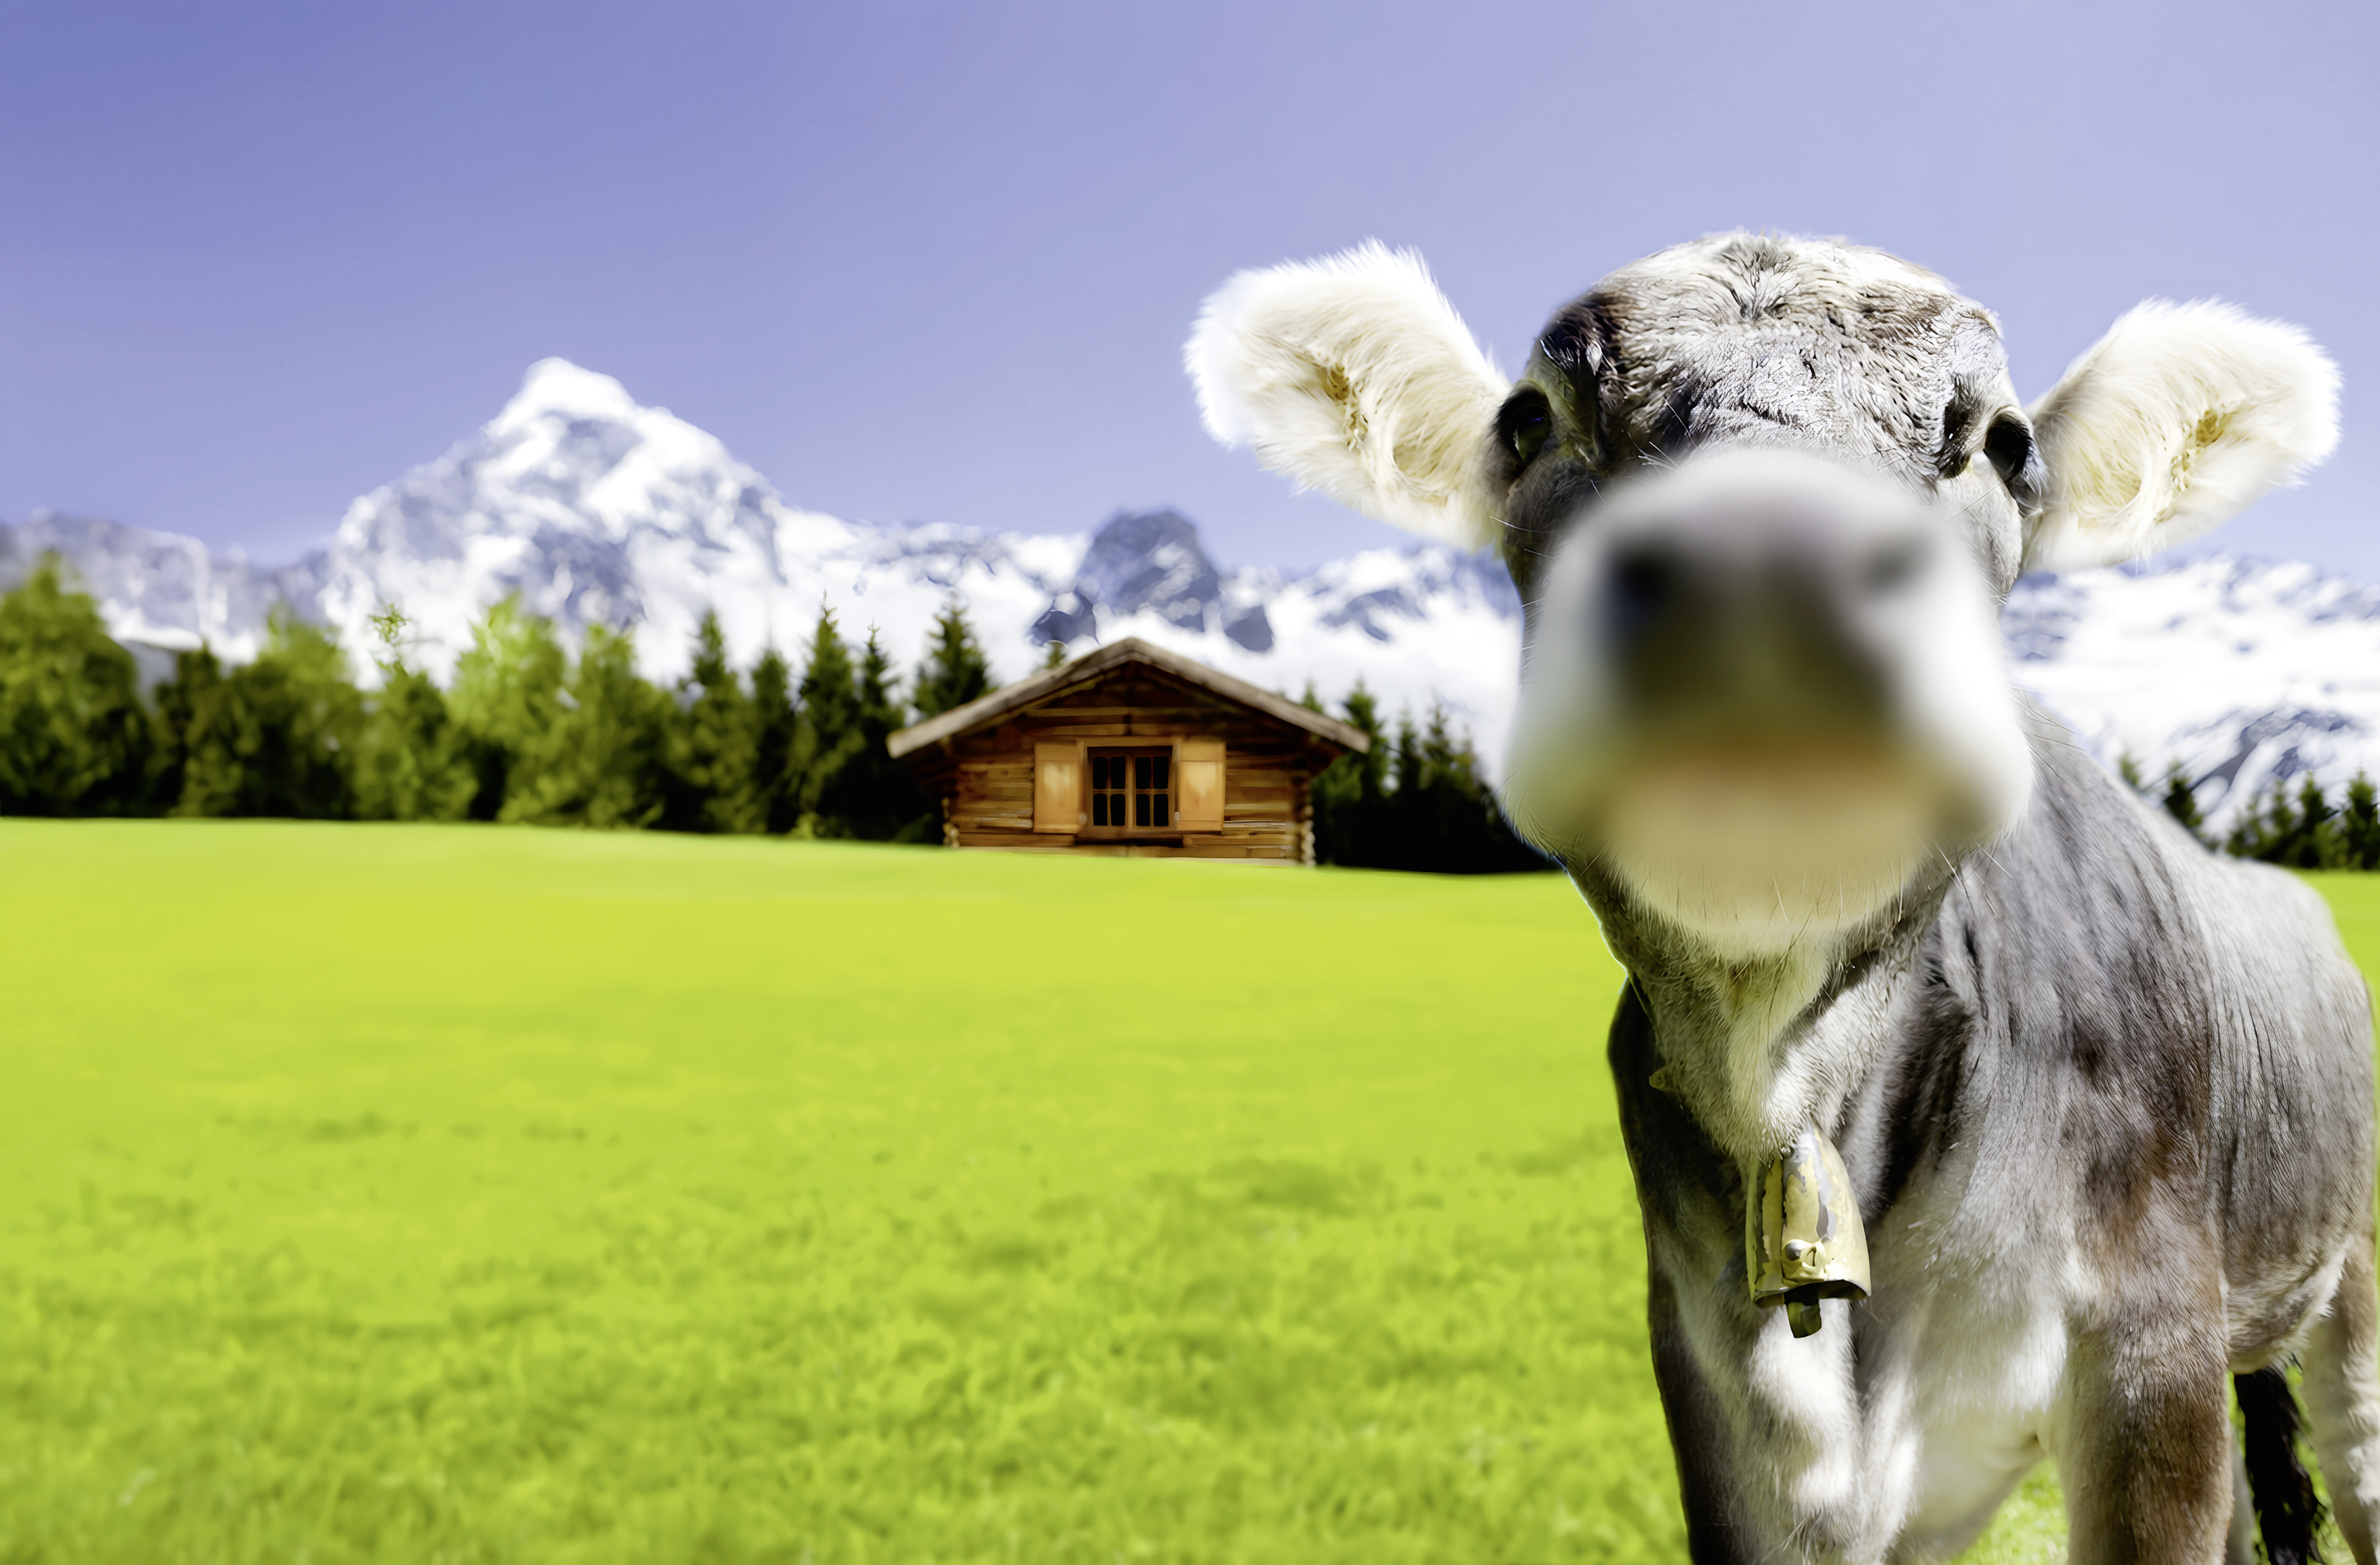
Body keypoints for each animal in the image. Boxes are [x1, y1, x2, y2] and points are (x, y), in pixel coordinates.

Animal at [1185, 233, 2371, 1563]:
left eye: (2005, 442)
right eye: (1530, 421)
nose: (1761, 561)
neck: (1793, 1087)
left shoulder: (2150, 1342)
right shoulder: (1717, 1376)